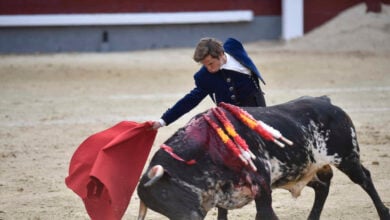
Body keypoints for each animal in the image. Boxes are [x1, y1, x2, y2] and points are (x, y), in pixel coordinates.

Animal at [136, 96, 388, 220]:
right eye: (159, 207)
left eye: (164, 193)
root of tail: (330, 105)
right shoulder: (224, 193)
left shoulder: (261, 184)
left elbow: (265, 214)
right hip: (302, 170)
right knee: (322, 186)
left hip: (347, 156)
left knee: (364, 178)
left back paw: (384, 213)